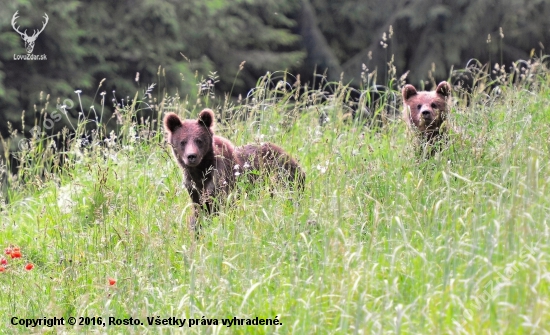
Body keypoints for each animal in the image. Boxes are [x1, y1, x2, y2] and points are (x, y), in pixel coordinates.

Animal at [164, 109, 306, 230]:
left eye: (199, 140)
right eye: (183, 142)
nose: (191, 156)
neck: (201, 170)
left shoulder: (221, 181)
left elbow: (225, 208)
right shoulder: (193, 188)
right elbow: (200, 212)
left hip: (283, 177)